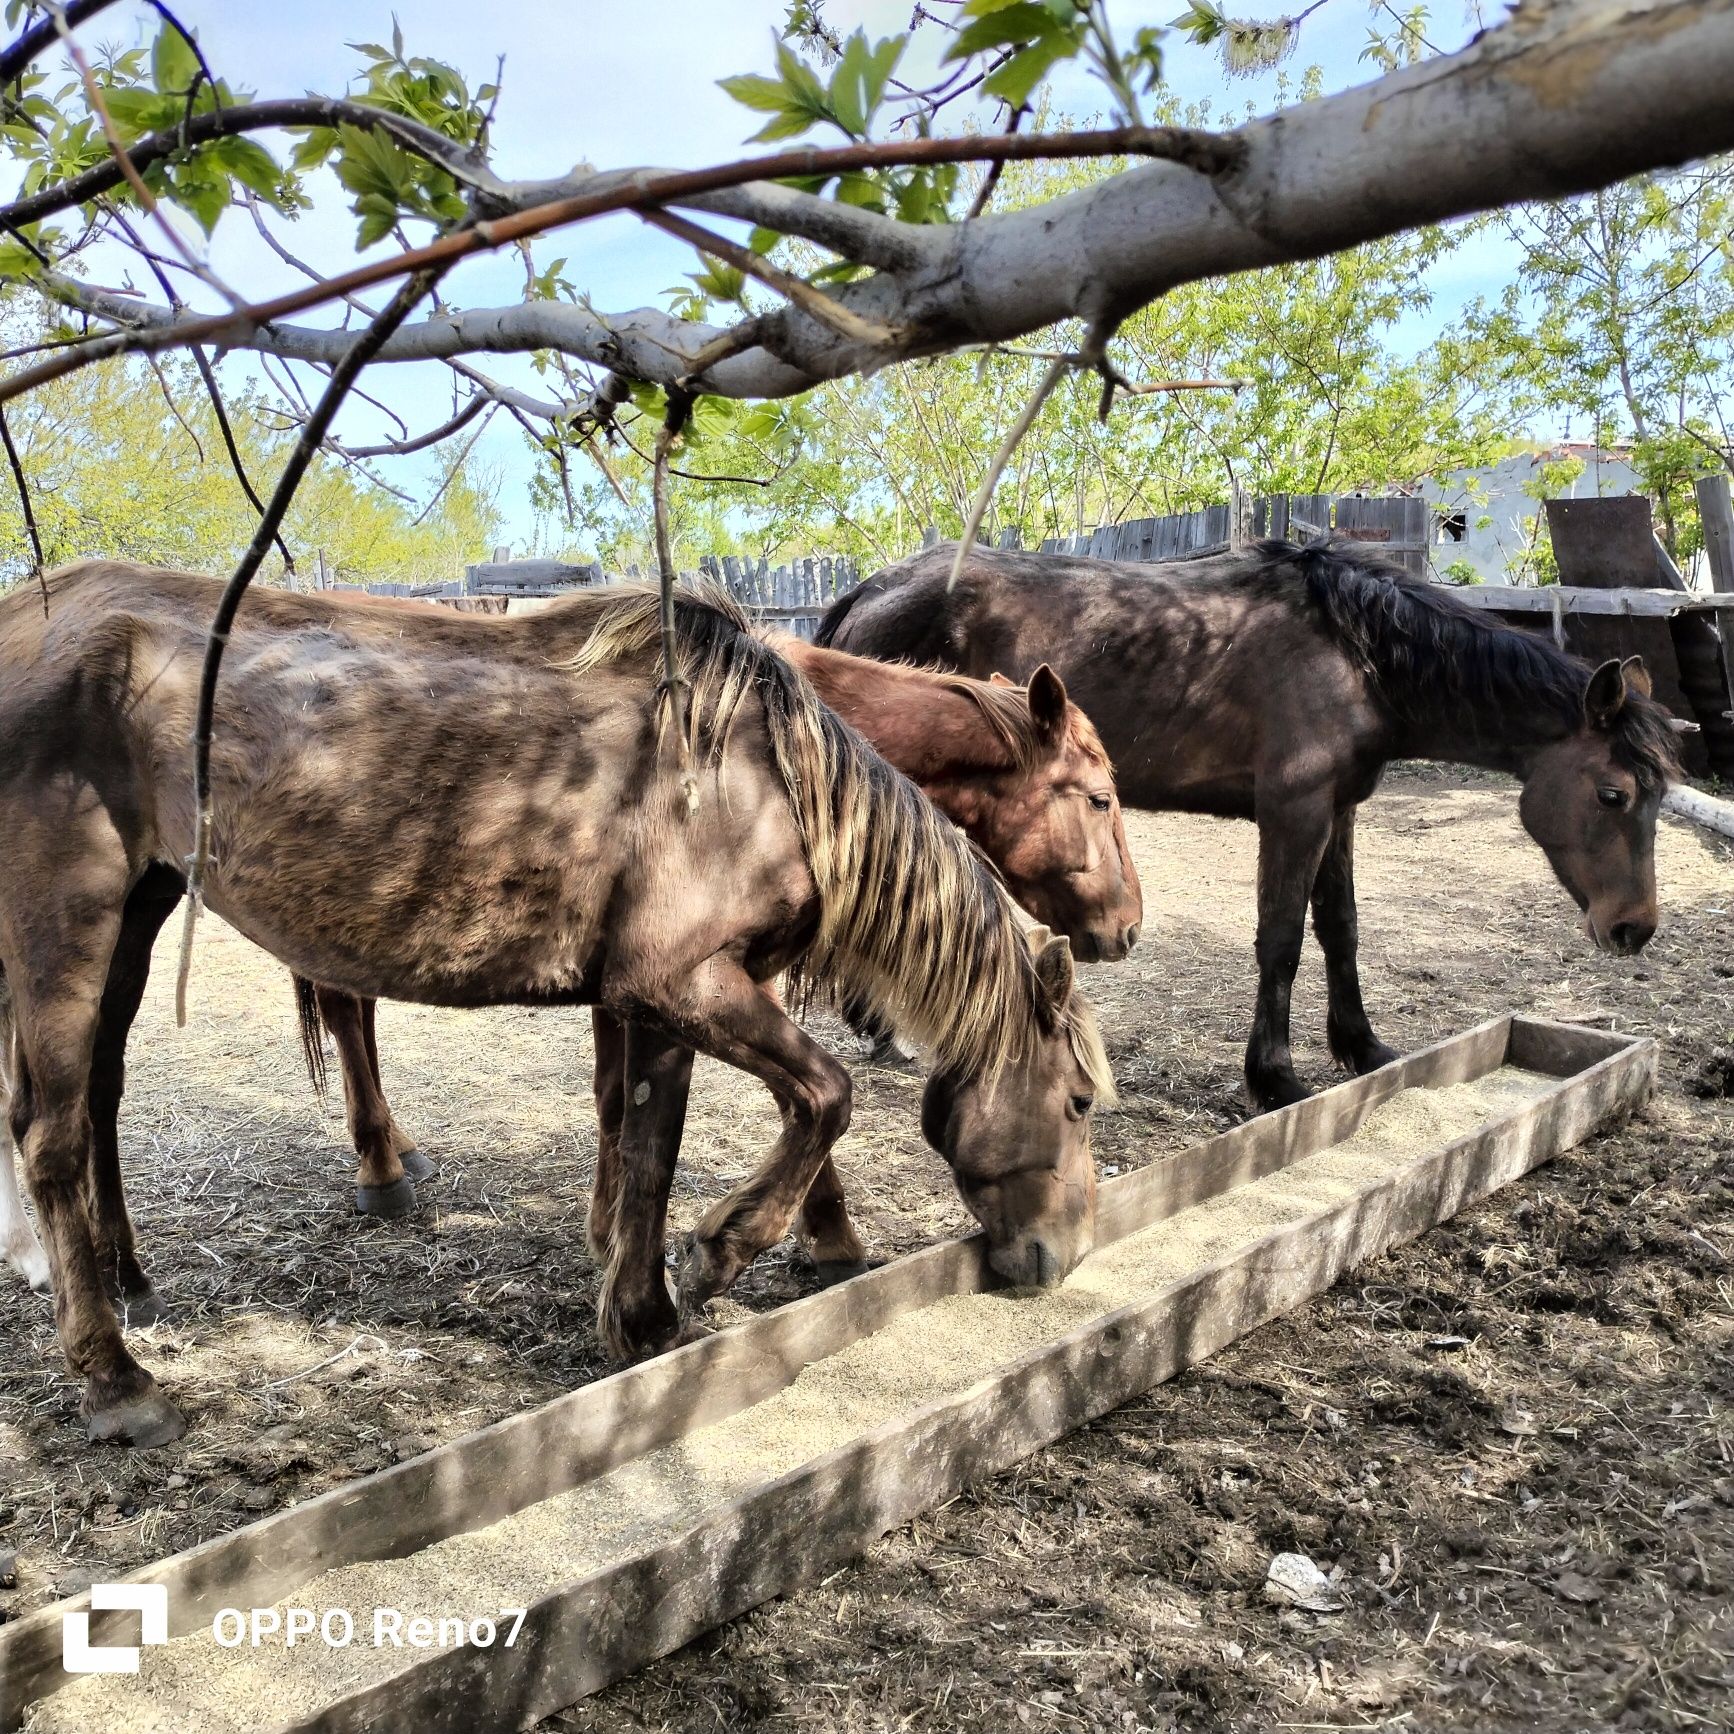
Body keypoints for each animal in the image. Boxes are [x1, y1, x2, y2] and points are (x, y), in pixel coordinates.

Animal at [287, 645, 1137, 1227]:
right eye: (1099, 799)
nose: (1128, 927)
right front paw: (823, 1237)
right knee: (346, 1011)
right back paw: (381, 1168)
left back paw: (397, 1149)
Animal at [818, 541, 1685, 1109]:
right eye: (1613, 795)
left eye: (1659, 795)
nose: (1634, 928)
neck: (1359, 657)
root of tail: (870, 588)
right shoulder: (1293, 811)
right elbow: (1282, 938)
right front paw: (1274, 1077)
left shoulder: (1340, 809)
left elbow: (1340, 928)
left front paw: (1362, 1047)